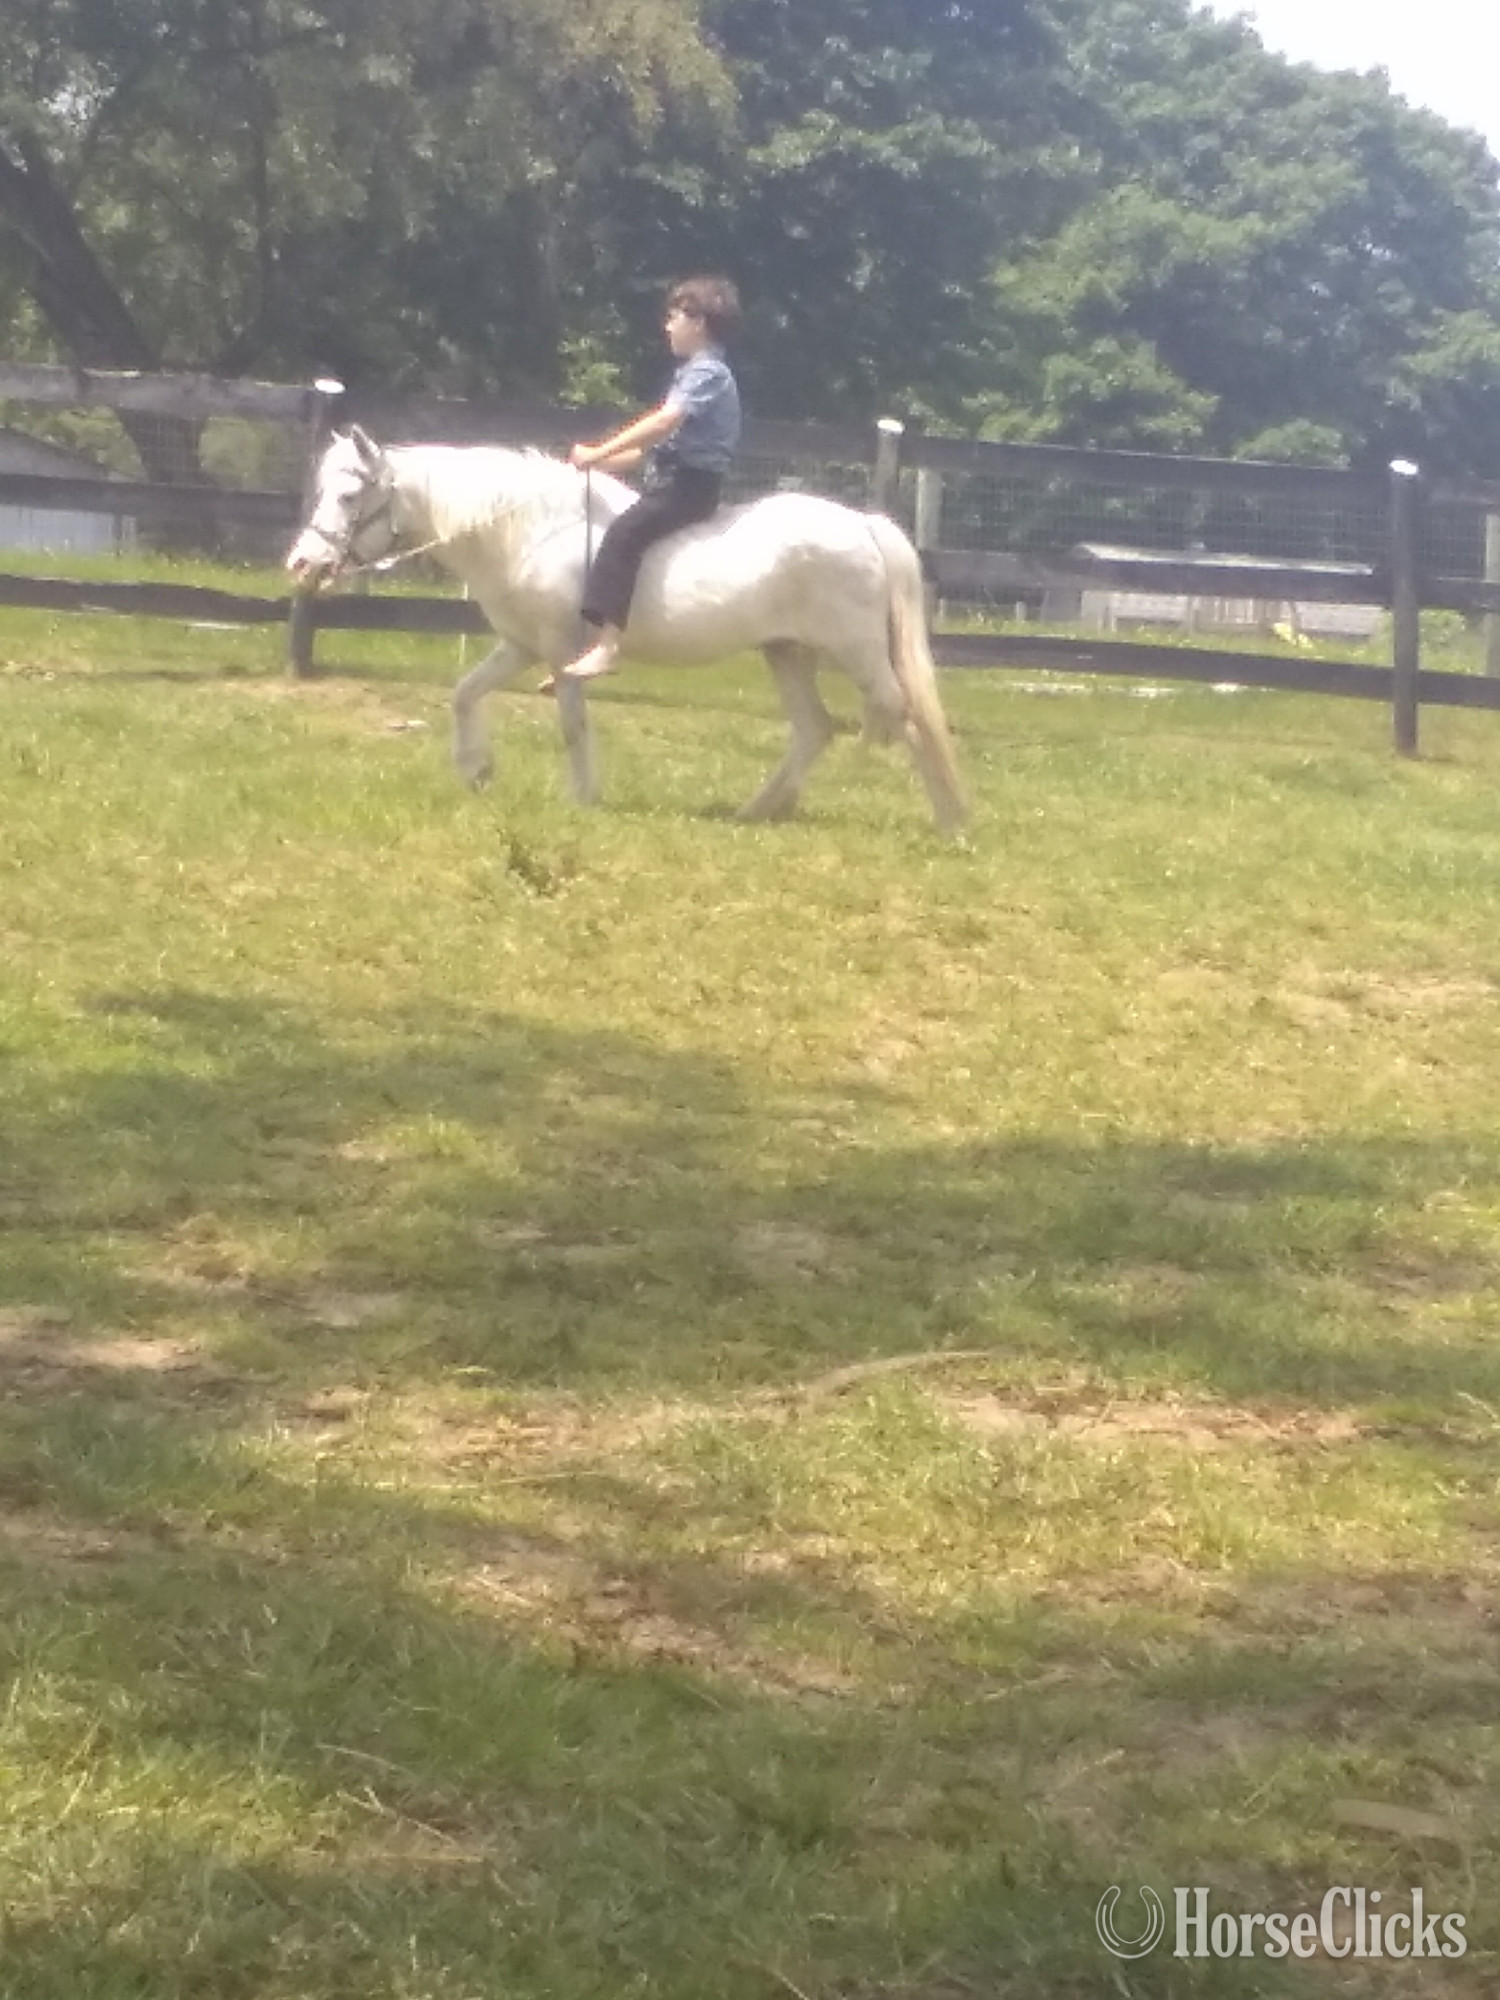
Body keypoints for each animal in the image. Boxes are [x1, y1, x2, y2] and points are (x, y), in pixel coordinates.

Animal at [285, 428, 966, 831]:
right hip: (787, 653)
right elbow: (464, 693)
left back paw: (949, 822)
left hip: (857, 654)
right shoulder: (520, 646)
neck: (533, 529)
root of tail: (861, 523)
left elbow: (572, 724)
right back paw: (755, 811)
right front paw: (476, 769)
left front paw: (583, 798)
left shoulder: (559, 649)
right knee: (814, 729)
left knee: (906, 717)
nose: (301, 565)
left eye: (348, 496)